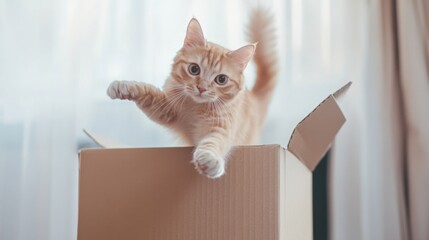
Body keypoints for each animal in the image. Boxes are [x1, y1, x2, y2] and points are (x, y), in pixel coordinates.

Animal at [107, 8, 278, 178]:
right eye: (194, 69)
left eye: (221, 79)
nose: (202, 88)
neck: (196, 108)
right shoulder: (166, 109)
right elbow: (146, 90)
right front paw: (123, 86)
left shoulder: (223, 126)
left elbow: (215, 141)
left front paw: (210, 159)